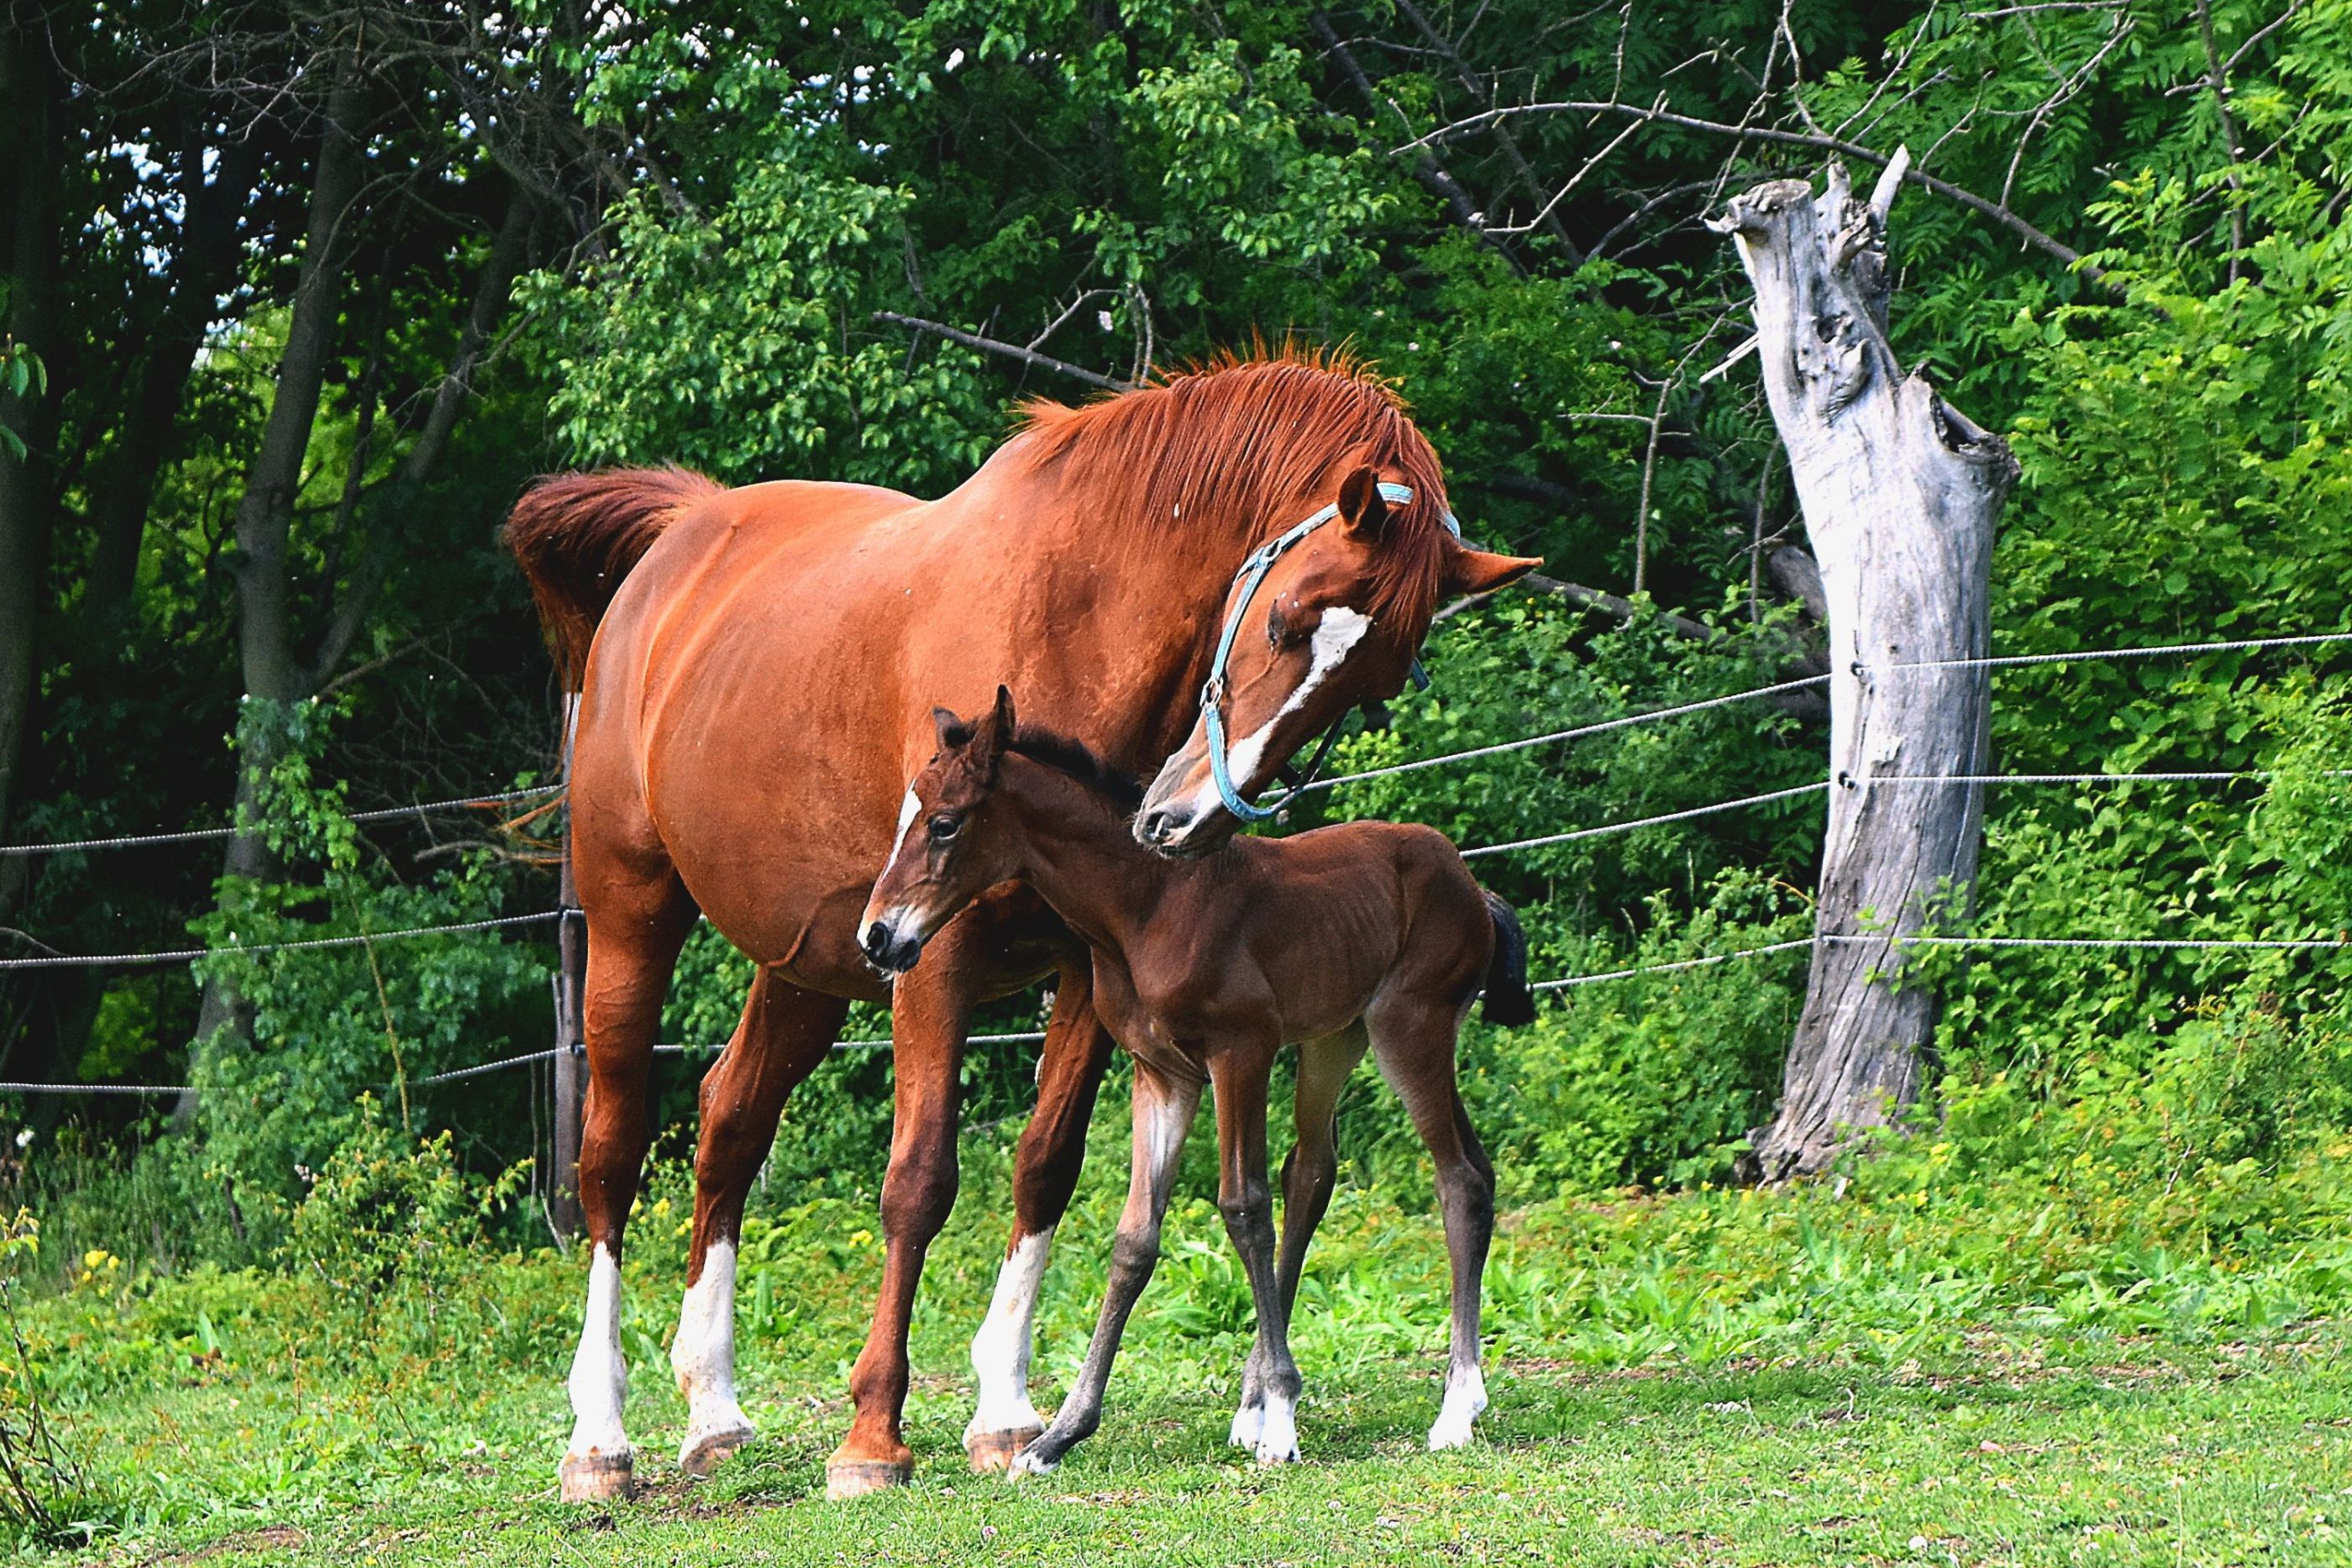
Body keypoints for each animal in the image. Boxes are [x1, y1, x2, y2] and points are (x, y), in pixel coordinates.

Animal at [856, 690, 1533, 1476]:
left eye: (944, 823)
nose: (877, 936)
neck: (1149, 905)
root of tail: (1471, 881)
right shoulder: (1162, 1074)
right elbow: (1134, 1242)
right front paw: (1060, 1434)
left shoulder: (1240, 1051)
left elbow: (1244, 1208)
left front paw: (1283, 1421)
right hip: (1334, 1040)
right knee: (1317, 1172)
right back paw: (1262, 1405)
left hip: (1411, 1028)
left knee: (1461, 1178)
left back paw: (1454, 1408)